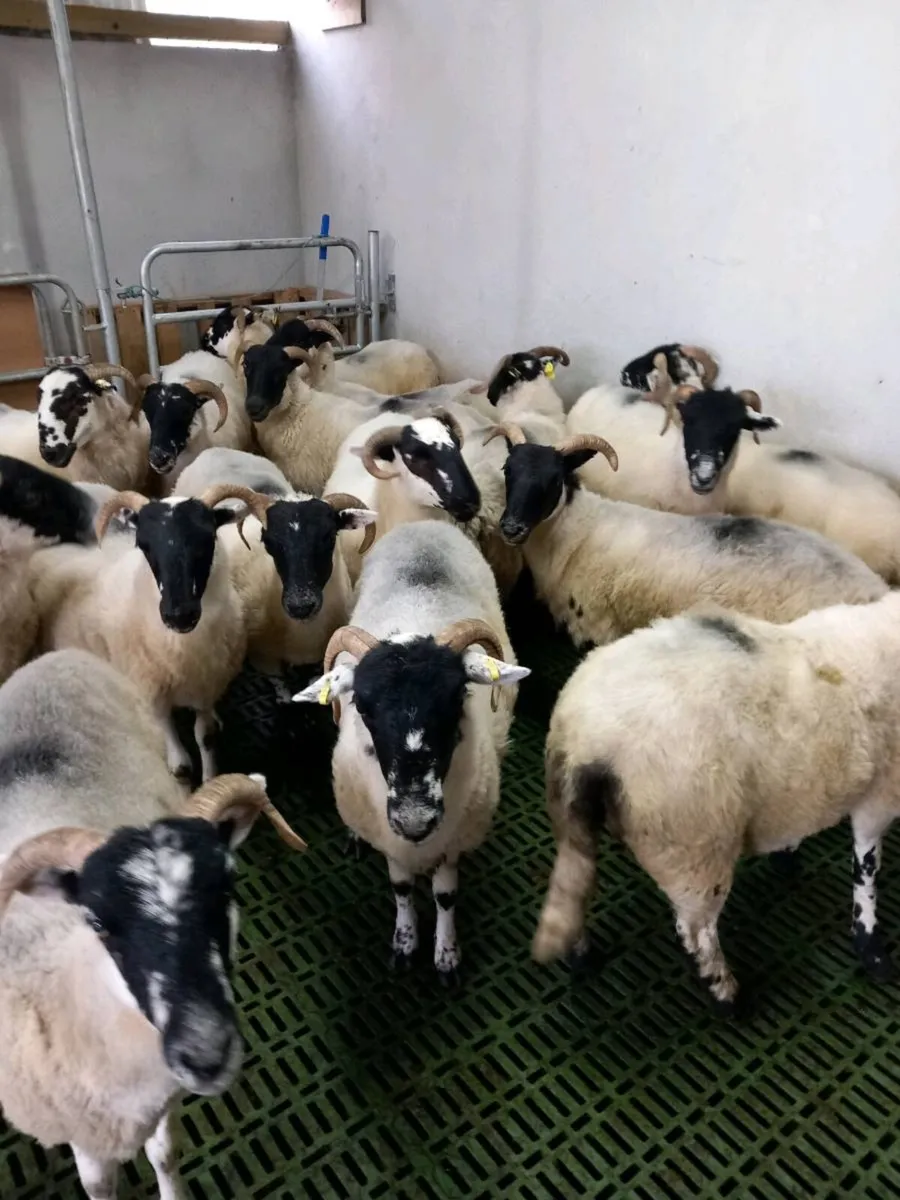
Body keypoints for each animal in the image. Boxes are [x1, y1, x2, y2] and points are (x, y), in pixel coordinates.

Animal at [0, 647, 303, 1199]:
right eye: (97, 921)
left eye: (228, 888)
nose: (205, 1052)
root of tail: (57, 655)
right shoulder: (87, 1135)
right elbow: (99, 1185)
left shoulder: (164, 1099)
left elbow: (165, 1152)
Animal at [28, 482, 255, 782]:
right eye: (143, 545)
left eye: (208, 539)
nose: (179, 614)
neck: (183, 648)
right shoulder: (150, 687)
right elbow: (171, 740)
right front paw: (180, 766)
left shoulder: (206, 686)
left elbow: (205, 736)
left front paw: (210, 777)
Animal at [293, 521, 529, 983]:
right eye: (362, 706)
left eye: (458, 698)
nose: (415, 820)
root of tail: (426, 524)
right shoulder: (391, 839)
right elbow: (401, 888)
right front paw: (404, 945)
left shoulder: (454, 836)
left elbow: (445, 895)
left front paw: (446, 955)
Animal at [491, 424, 887, 649]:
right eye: (508, 469)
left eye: (554, 480)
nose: (511, 528)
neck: (575, 532)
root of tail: (876, 587)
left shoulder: (596, 626)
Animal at [532, 589, 900, 1012]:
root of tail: (584, 744)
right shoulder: (881, 795)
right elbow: (867, 870)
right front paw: (872, 948)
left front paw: (787, 855)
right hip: (695, 846)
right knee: (695, 931)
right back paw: (728, 995)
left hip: (574, 821)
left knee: (573, 886)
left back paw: (583, 957)